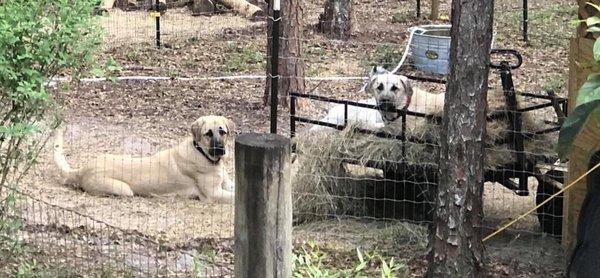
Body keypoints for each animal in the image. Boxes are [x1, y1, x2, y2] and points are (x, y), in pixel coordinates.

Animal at [54, 115, 236, 204]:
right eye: (208, 134)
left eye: (222, 132)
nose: (220, 149)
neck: (202, 153)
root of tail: (82, 169)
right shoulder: (214, 194)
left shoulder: (228, 185)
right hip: (124, 189)